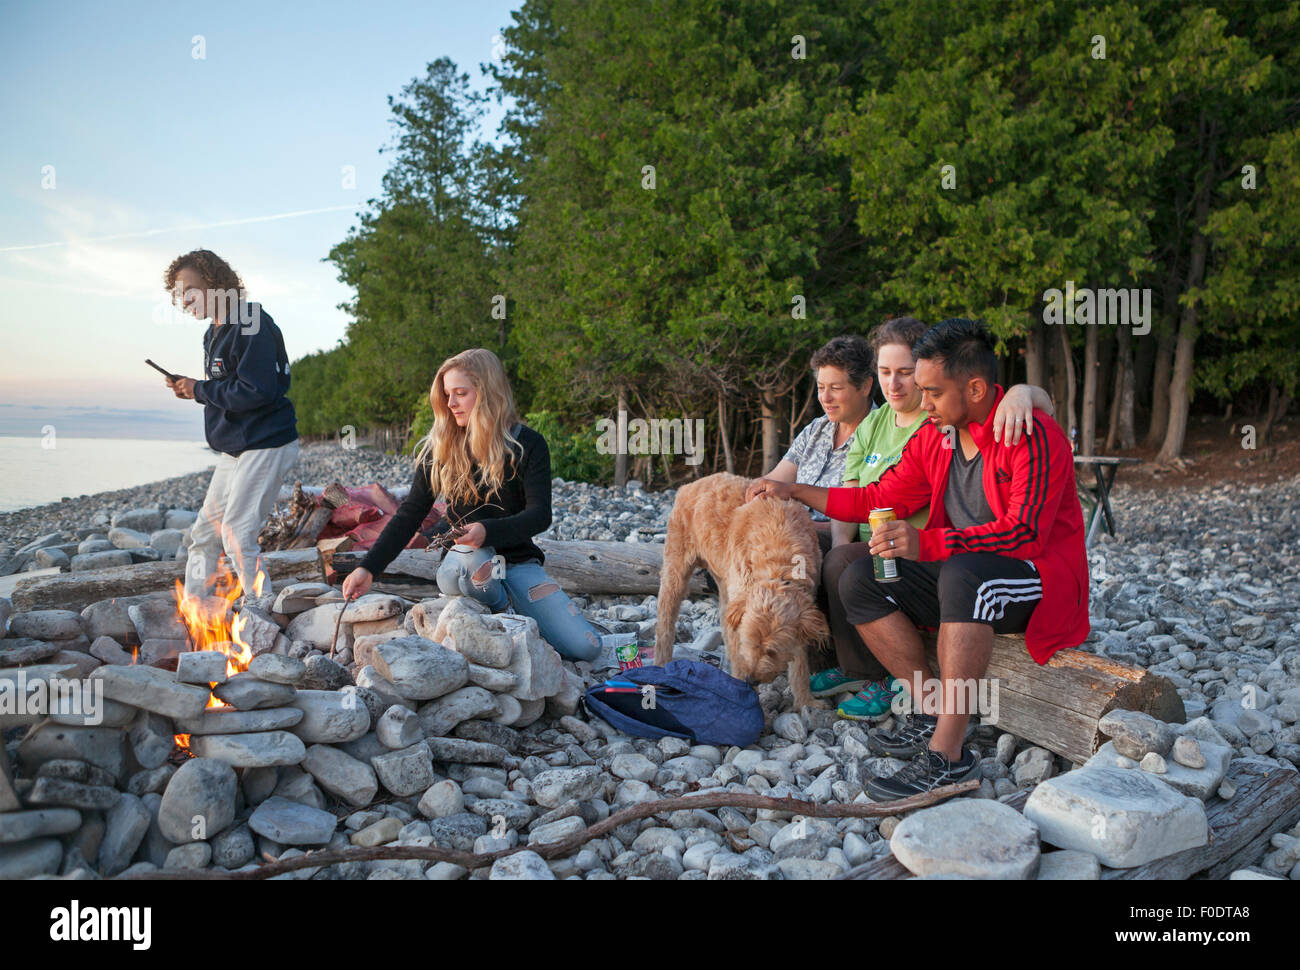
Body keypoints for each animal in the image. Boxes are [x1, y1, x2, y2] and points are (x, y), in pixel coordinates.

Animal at [655, 473, 826, 707]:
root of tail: (690, 484)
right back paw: (661, 664)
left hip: (724, 584)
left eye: (772, 651)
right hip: (676, 569)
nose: (750, 679)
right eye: (749, 643)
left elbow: (799, 663)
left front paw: (805, 702)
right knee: (665, 620)